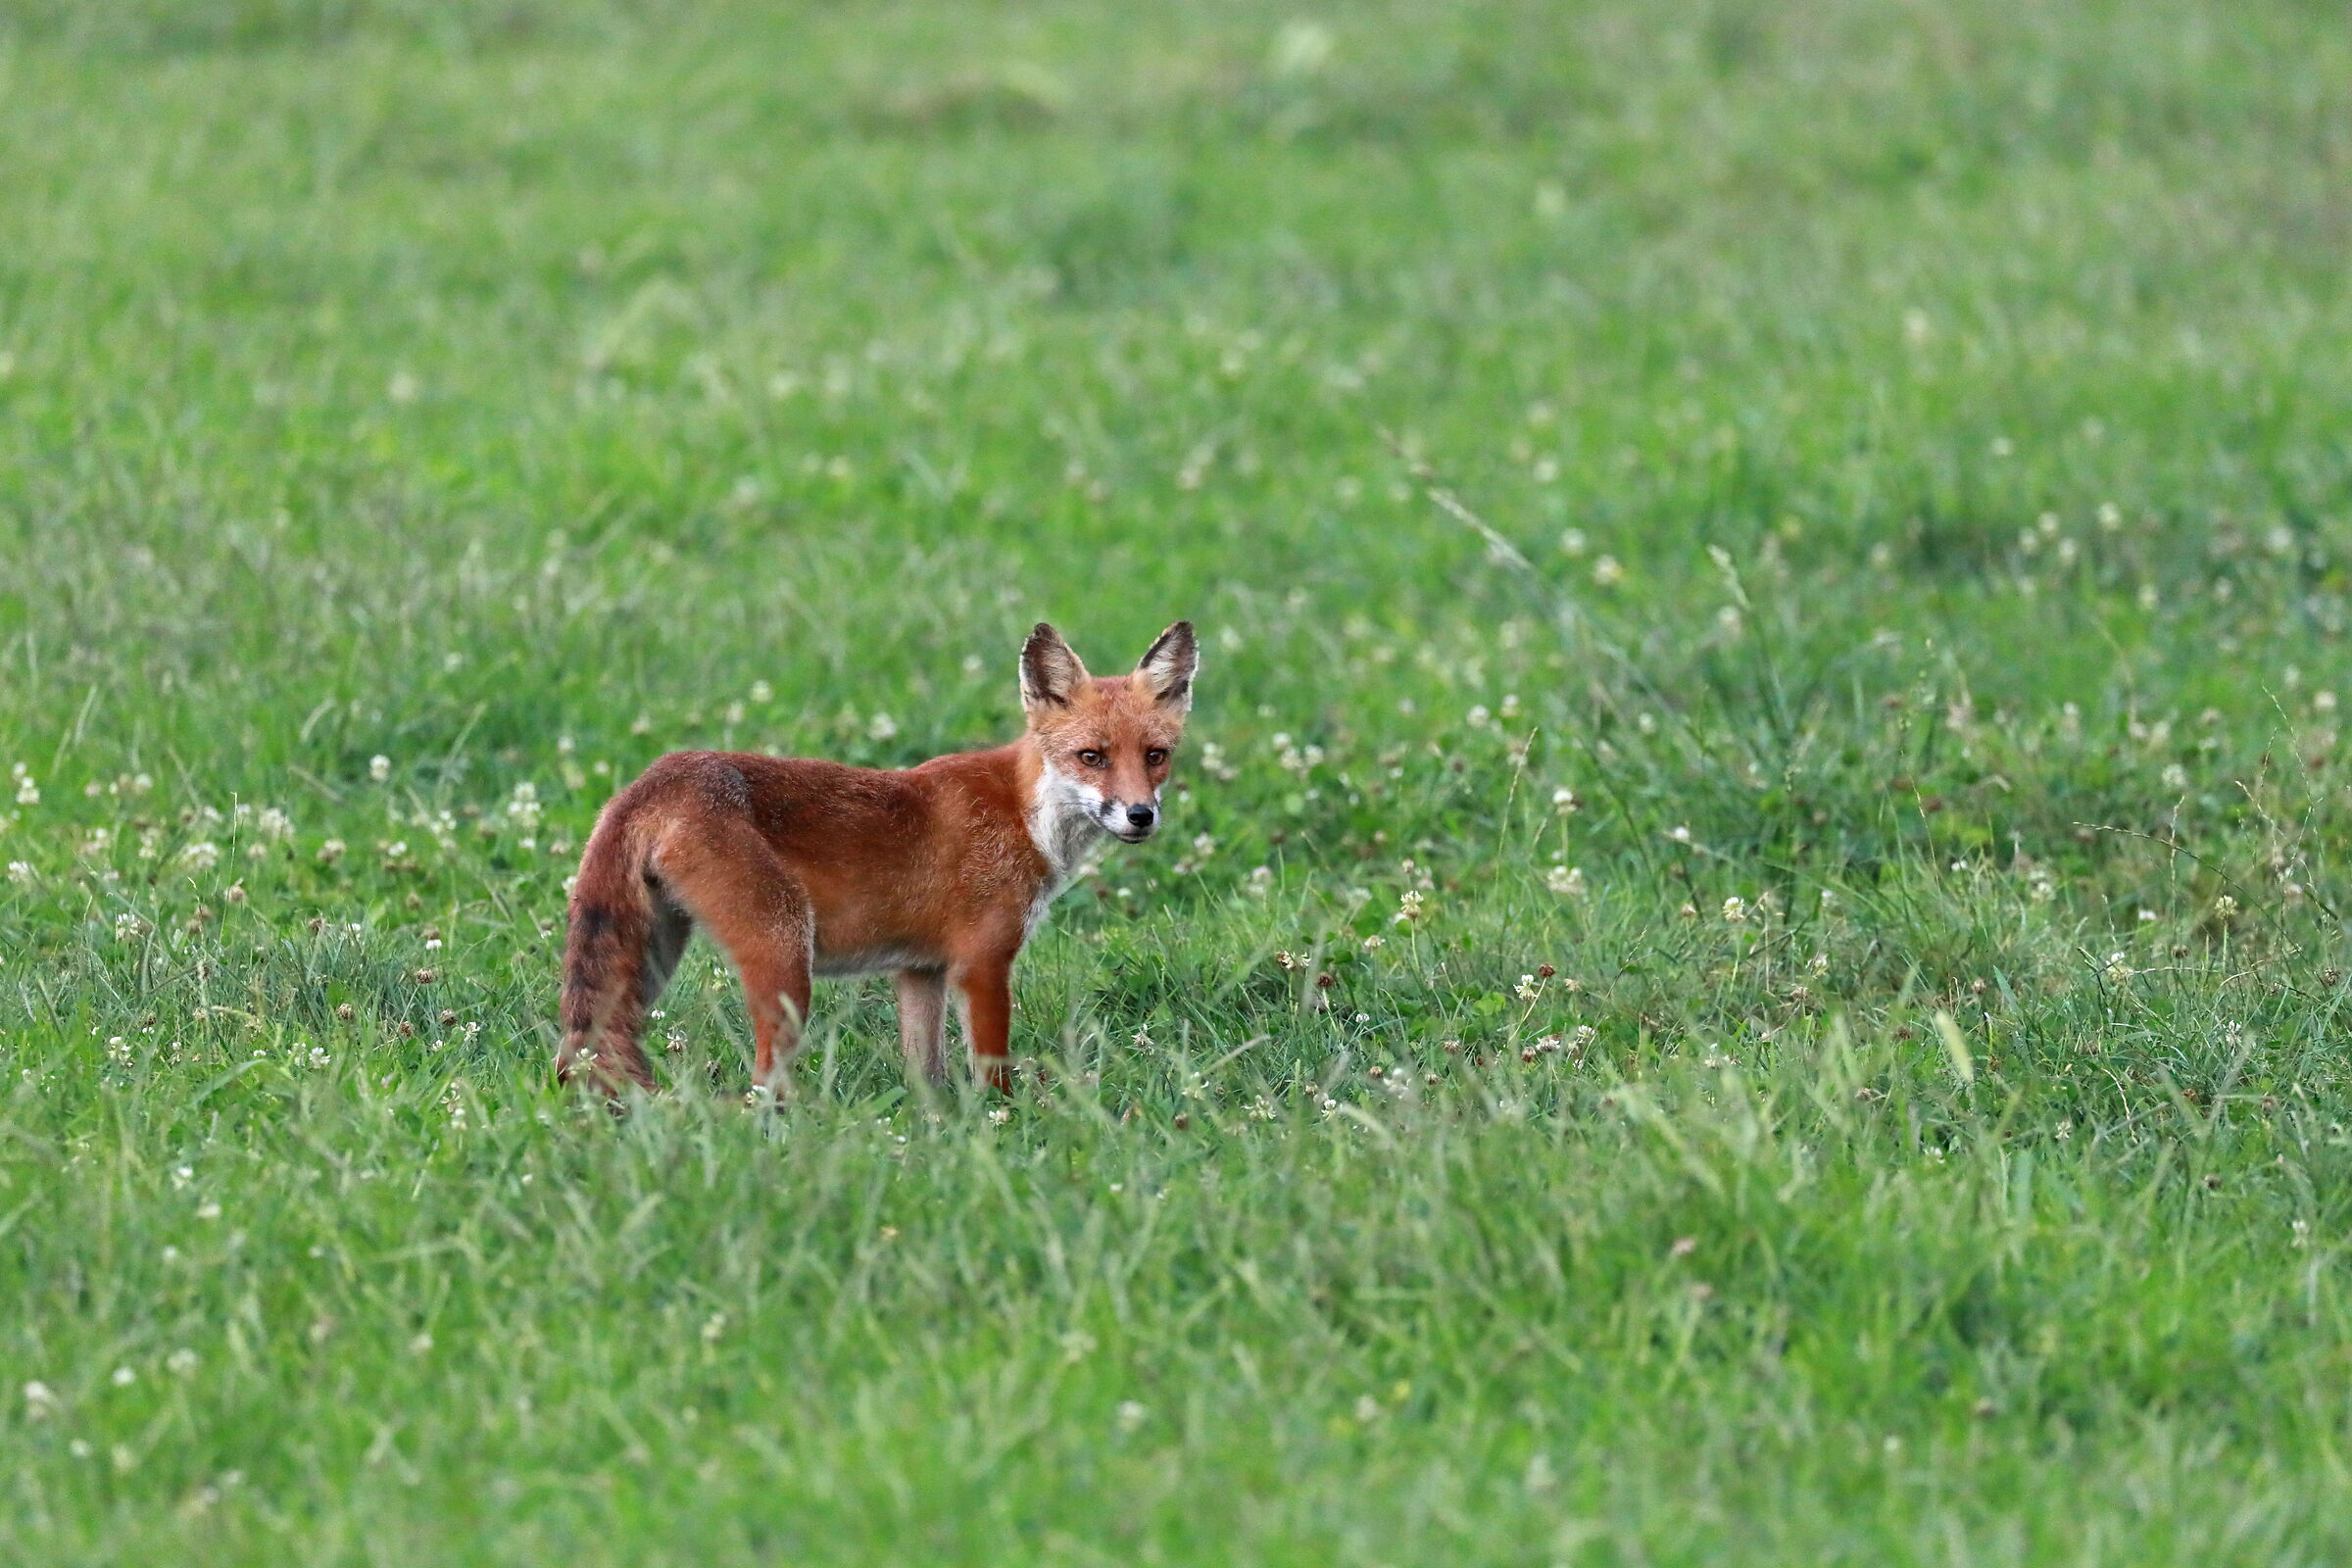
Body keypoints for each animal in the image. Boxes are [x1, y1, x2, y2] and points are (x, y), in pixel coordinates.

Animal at [557, 620, 1198, 1098]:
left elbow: (928, 1079)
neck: (1023, 814)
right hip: (785, 958)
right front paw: (1007, 1131)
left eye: (1156, 756)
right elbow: (993, 1074)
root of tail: (655, 775)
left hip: (651, 964)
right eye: (1091, 757)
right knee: (763, 1082)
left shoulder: (920, 972)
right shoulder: (982, 963)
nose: (1140, 815)